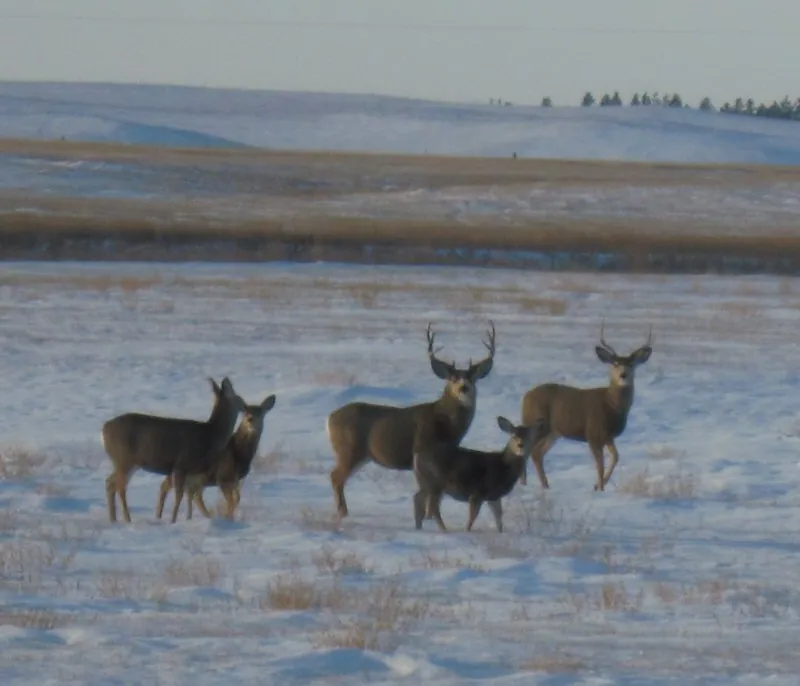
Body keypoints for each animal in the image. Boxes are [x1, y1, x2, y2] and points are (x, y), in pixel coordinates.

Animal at [102, 377, 245, 523]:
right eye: (239, 398)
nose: (247, 406)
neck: (210, 436)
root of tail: (105, 428)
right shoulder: (180, 465)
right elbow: (179, 496)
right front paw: (173, 520)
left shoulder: (191, 472)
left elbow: (188, 495)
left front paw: (186, 518)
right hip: (124, 459)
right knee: (120, 487)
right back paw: (127, 518)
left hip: (129, 462)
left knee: (110, 483)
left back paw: (113, 519)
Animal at [327, 321, 496, 518]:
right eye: (452, 378)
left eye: (473, 378)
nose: (464, 388)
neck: (445, 425)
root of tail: (329, 419)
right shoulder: (423, 451)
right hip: (349, 449)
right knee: (335, 477)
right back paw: (343, 513)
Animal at [413, 415, 543, 533]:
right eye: (513, 436)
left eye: (529, 436)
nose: (520, 445)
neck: (503, 468)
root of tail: (416, 456)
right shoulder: (478, 492)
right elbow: (473, 516)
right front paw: (467, 531)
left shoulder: (494, 496)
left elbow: (499, 517)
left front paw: (500, 532)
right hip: (435, 480)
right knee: (433, 506)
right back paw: (444, 530)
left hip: (426, 481)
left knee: (418, 498)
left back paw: (419, 527)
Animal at [520, 323, 653, 491]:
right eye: (615, 364)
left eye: (631, 364)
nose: (623, 375)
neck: (611, 405)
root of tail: (525, 397)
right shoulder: (593, 434)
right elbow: (600, 465)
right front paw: (600, 488)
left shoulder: (608, 436)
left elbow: (615, 457)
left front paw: (597, 486)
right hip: (537, 425)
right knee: (527, 451)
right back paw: (525, 485)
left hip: (553, 432)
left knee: (537, 453)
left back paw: (544, 485)